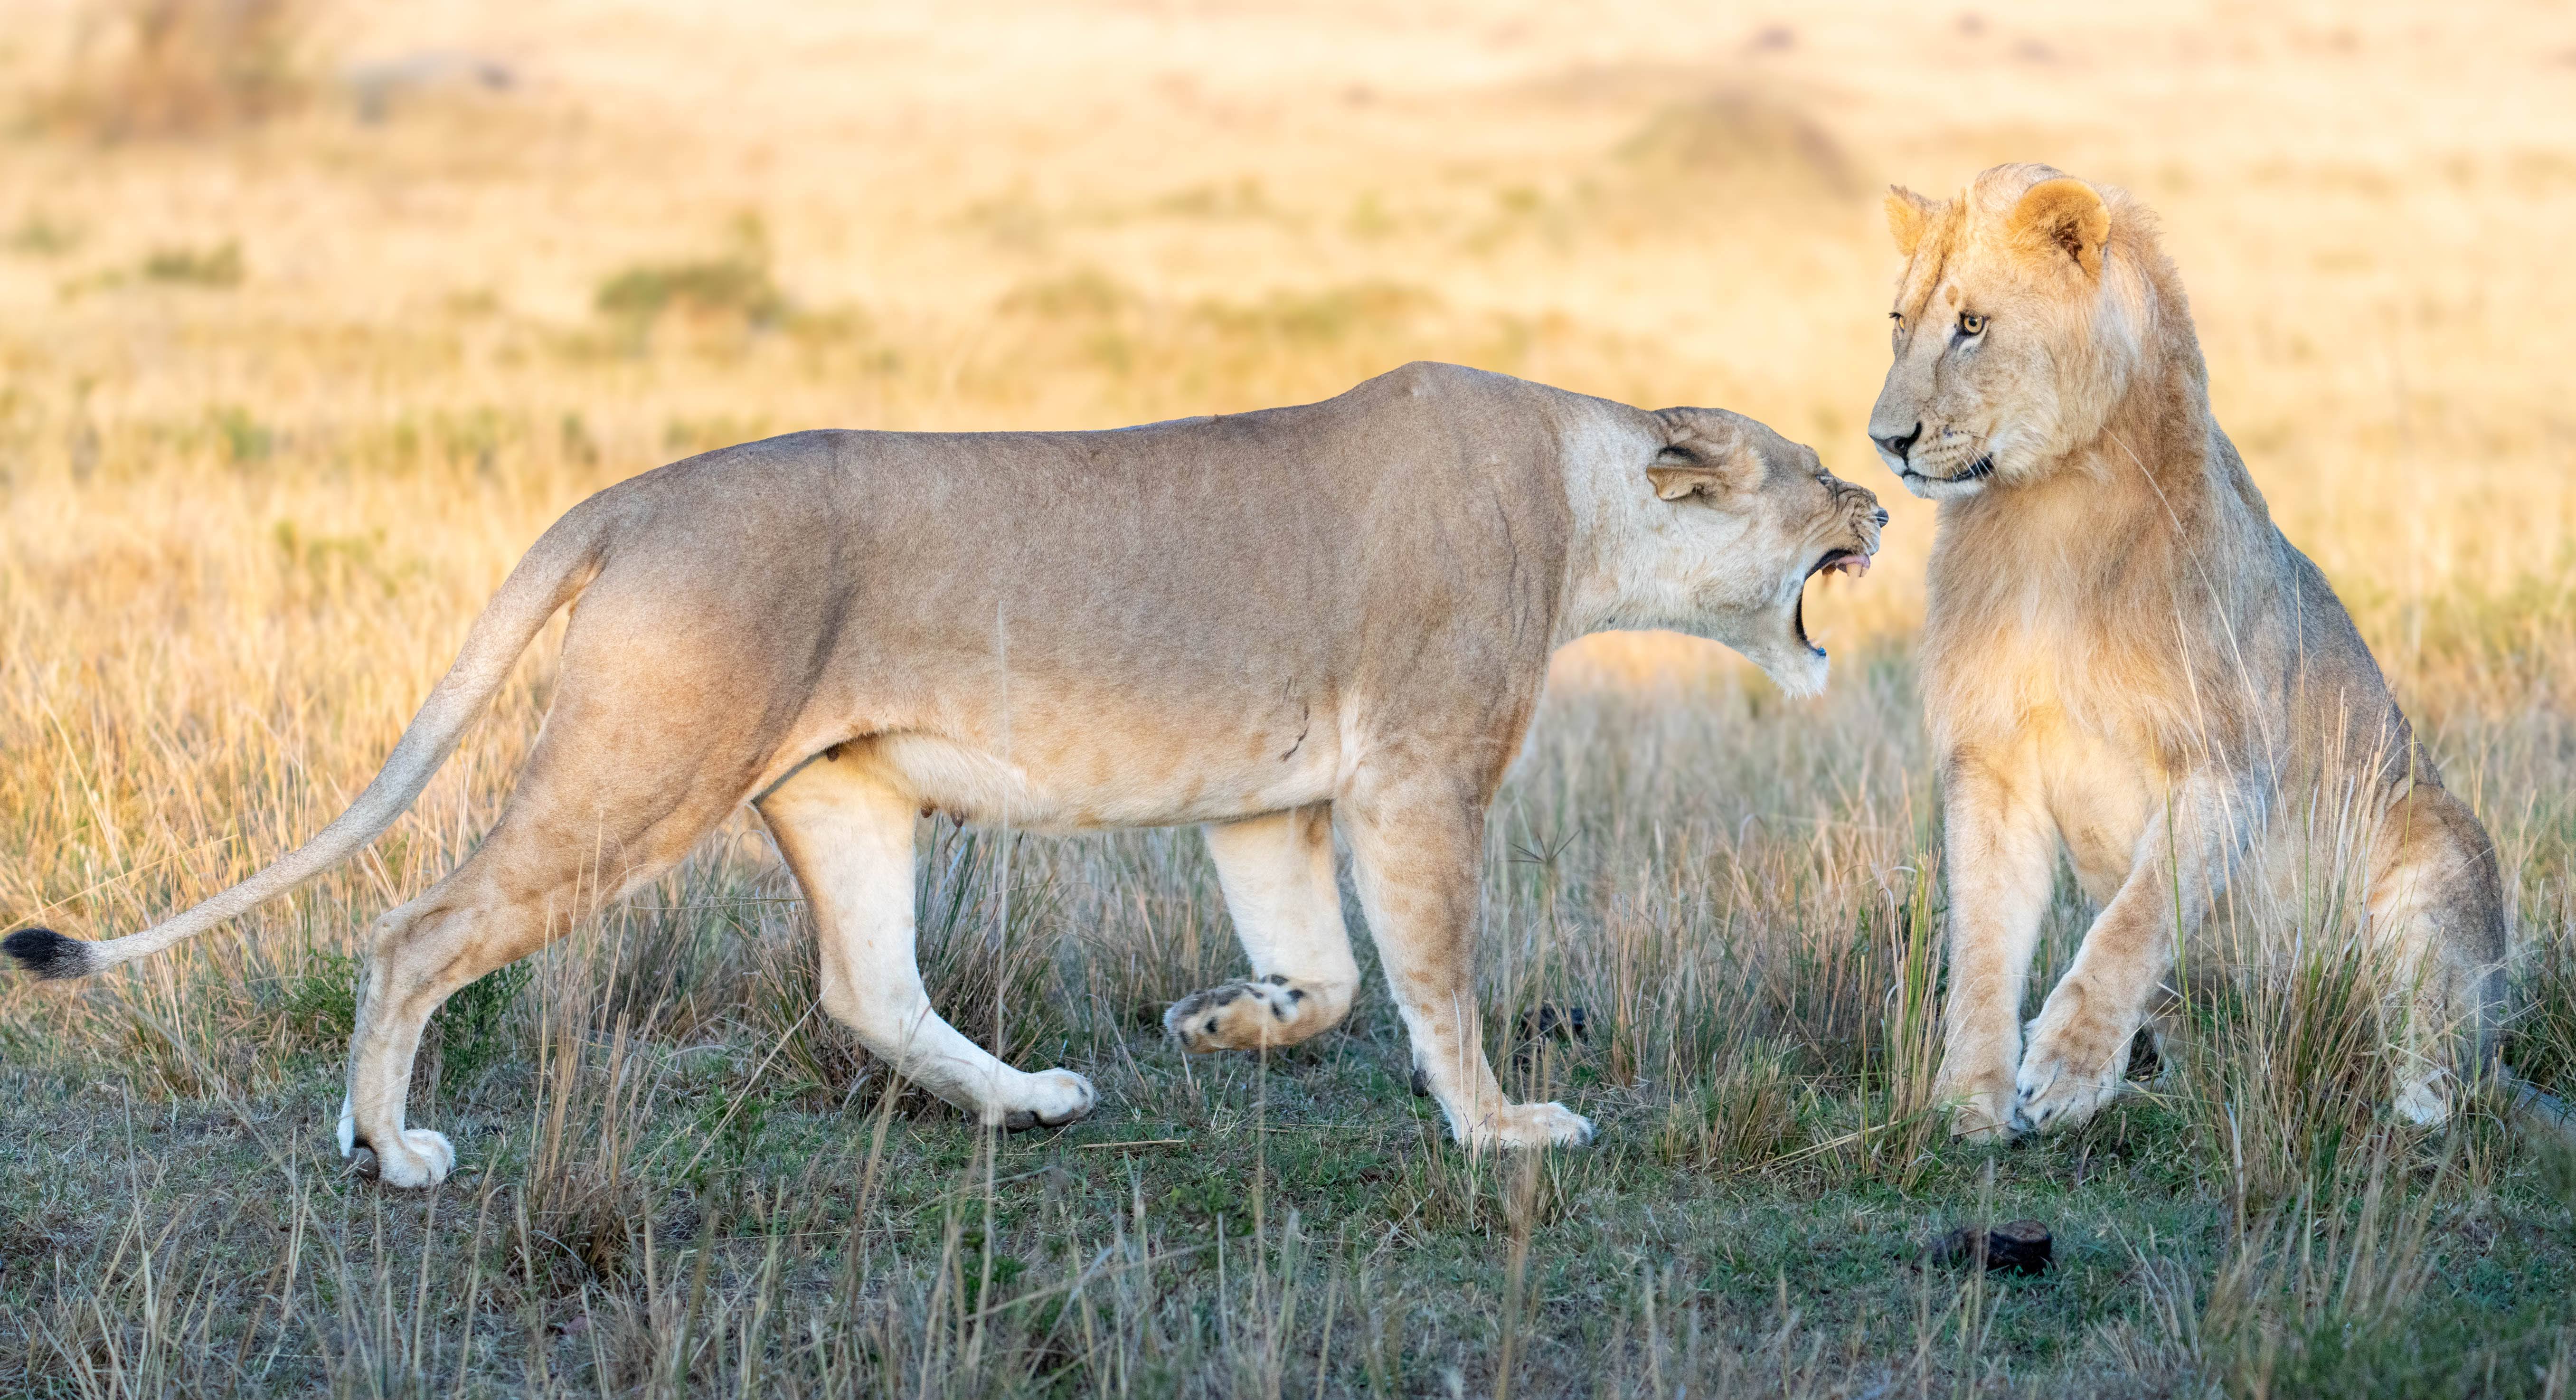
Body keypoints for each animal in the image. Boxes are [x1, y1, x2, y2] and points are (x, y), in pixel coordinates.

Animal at [7, 362, 1884, 1187]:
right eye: (1808, 471)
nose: (1879, 495)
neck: (1582, 510)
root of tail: (635, 491)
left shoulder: (1270, 797)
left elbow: (1332, 976)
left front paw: (1224, 1021)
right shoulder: (1421, 774)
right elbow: (1429, 978)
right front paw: (1504, 1130)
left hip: (842, 790)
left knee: (867, 987)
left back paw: (1033, 1100)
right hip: (650, 757)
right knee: (414, 930)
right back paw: (391, 1146)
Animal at [1867, 164, 2543, 1139]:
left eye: (1972, 325)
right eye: (1899, 320)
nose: (1887, 441)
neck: (2047, 508)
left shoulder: (2226, 762)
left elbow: (2139, 915)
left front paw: (2067, 1069)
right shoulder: (1991, 760)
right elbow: (1985, 944)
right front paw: (1969, 1105)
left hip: (2433, 823)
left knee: (2446, 1066)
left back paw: (2406, 1105)